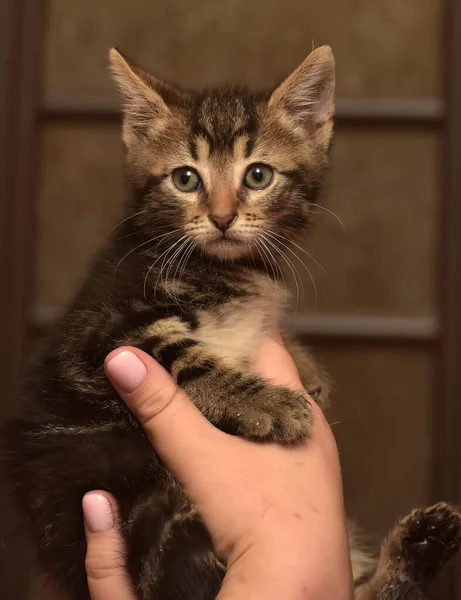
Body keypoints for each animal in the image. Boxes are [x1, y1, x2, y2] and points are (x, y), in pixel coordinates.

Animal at [1, 47, 458, 600]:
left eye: (258, 176)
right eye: (185, 179)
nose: (222, 217)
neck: (224, 269)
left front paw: (306, 369)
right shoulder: (107, 332)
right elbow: (186, 357)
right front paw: (274, 404)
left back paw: (423, 543)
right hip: (131, 498)